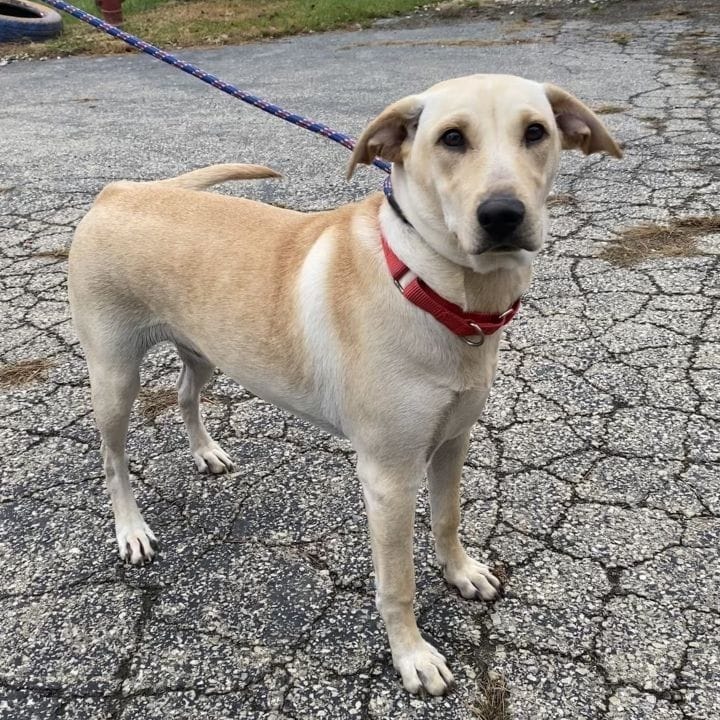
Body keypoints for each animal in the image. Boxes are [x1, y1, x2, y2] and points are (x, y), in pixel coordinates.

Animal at [66, 76, 620, 696]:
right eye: (451, 138)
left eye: (536, 132)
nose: (503, 215)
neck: (426, 284)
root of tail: (120, 190)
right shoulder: (389, 478)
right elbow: (397, 583)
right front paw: (412, 655)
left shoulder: (452, 442)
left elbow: (448, 519)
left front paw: (461, 573)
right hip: (115, 378)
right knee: (113, 459)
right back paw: (131, 529)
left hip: (209, 349)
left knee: (187, 394)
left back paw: (206, 452)